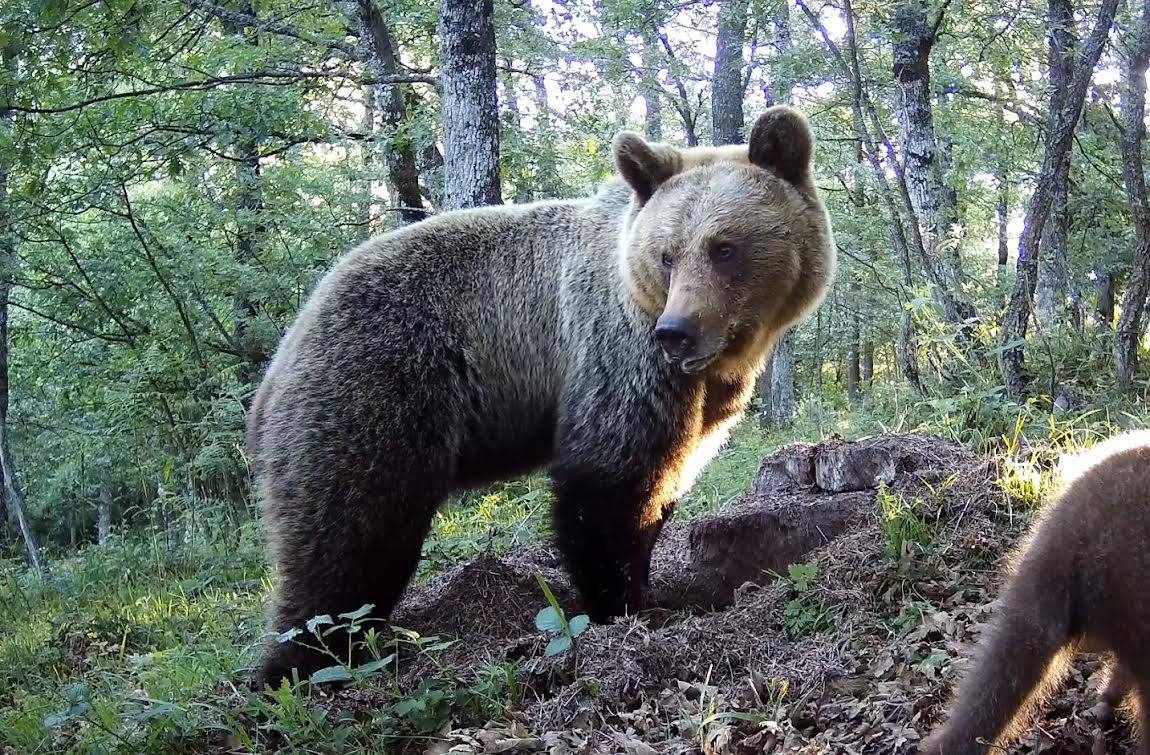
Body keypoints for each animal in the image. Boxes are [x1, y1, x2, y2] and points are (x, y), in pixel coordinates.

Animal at [246, 105, 837, 687]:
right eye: (668, 255)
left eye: (724, 247)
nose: (677, 331)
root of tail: (281, 358)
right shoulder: (616, 355)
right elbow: (607, 484)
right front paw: (622, 604)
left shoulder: (704, 399)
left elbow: (669, 476)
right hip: (377, 388)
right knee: (349, 537)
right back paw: (297, 664)